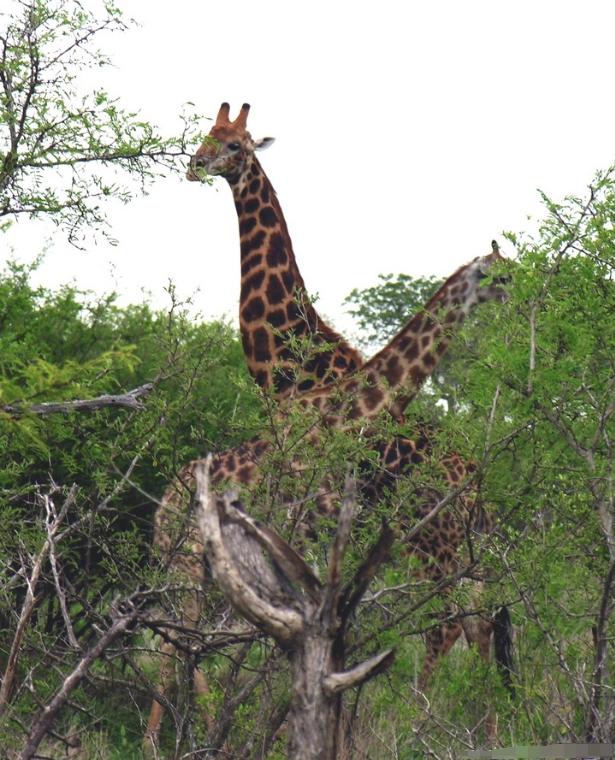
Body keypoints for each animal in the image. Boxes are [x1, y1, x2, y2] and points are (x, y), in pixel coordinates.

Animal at [147, 246, 512, 744]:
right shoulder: (299, 530)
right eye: (501, 275)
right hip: (185, 561)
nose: (523, 289)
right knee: (181, 638)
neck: (345, 413)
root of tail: (163, 505)